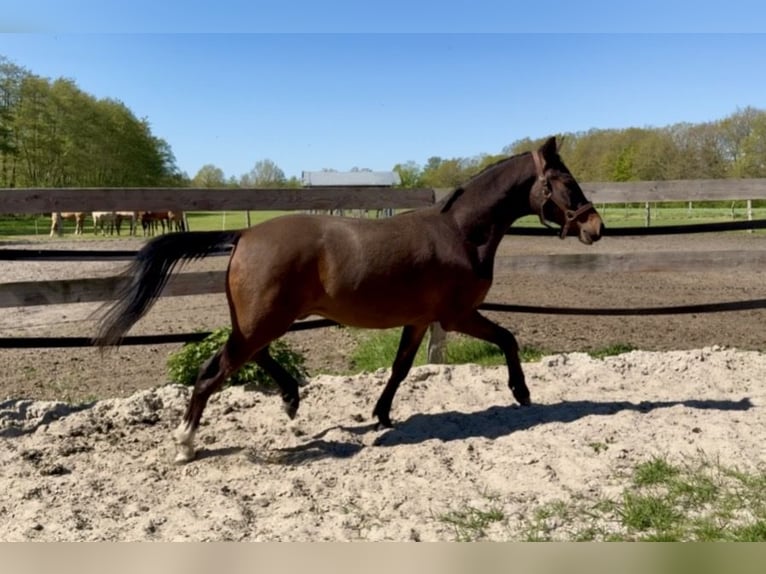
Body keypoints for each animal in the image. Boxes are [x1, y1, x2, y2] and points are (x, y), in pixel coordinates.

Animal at [93, 137, 604, 463]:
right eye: (566, 182)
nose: (595, 227)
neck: (461, 234)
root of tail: (243, 235)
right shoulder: (456, 315)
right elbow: (508, 338)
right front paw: (521, 393)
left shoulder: (420, 319)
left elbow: (400, 368)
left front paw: (382, 415)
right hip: (263, 321)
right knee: (211, 374)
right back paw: (186, 445)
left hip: (261, 321)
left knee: (250, 357)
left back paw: (291, 400)